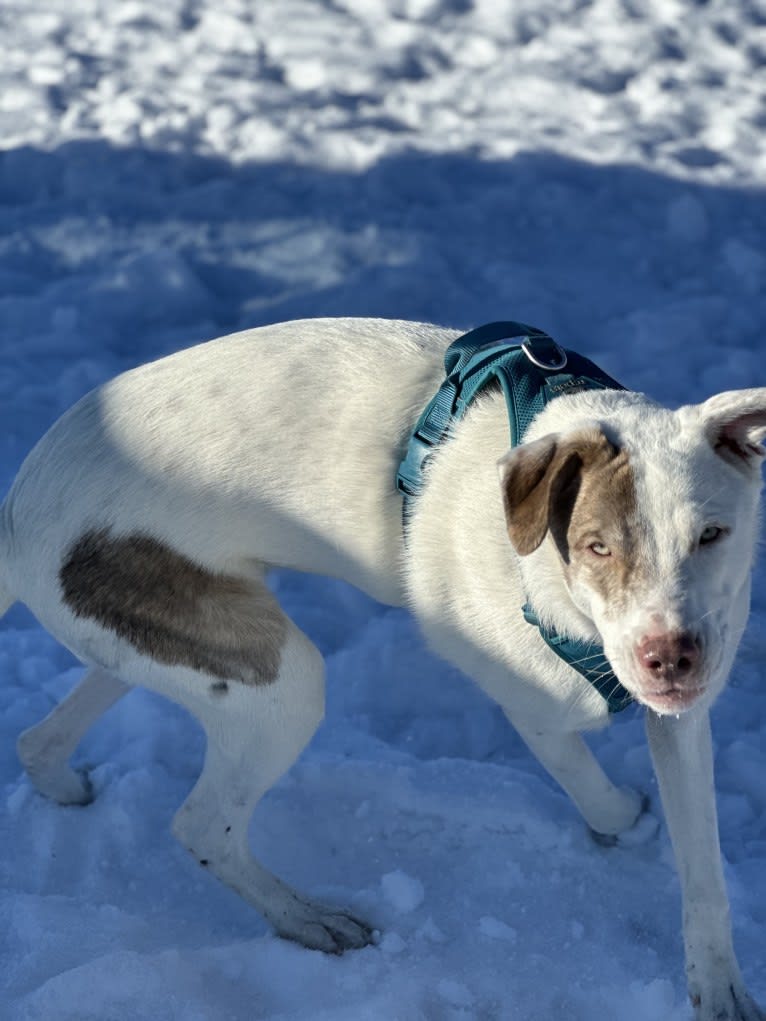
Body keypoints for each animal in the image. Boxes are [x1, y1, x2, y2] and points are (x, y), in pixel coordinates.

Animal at [6, 314, 766, 1016]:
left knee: (41, 735)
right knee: (203, 824)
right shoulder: (536, 705)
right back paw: (308, 920)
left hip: (160, 634)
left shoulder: (685, 712)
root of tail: (15, 513)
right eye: (597, 546)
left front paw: (718, 986)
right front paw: (625, 820)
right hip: (281, 682)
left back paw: (61, 783)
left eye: (712, 534)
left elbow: (703, 869)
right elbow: (596, 789)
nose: (669, 657)